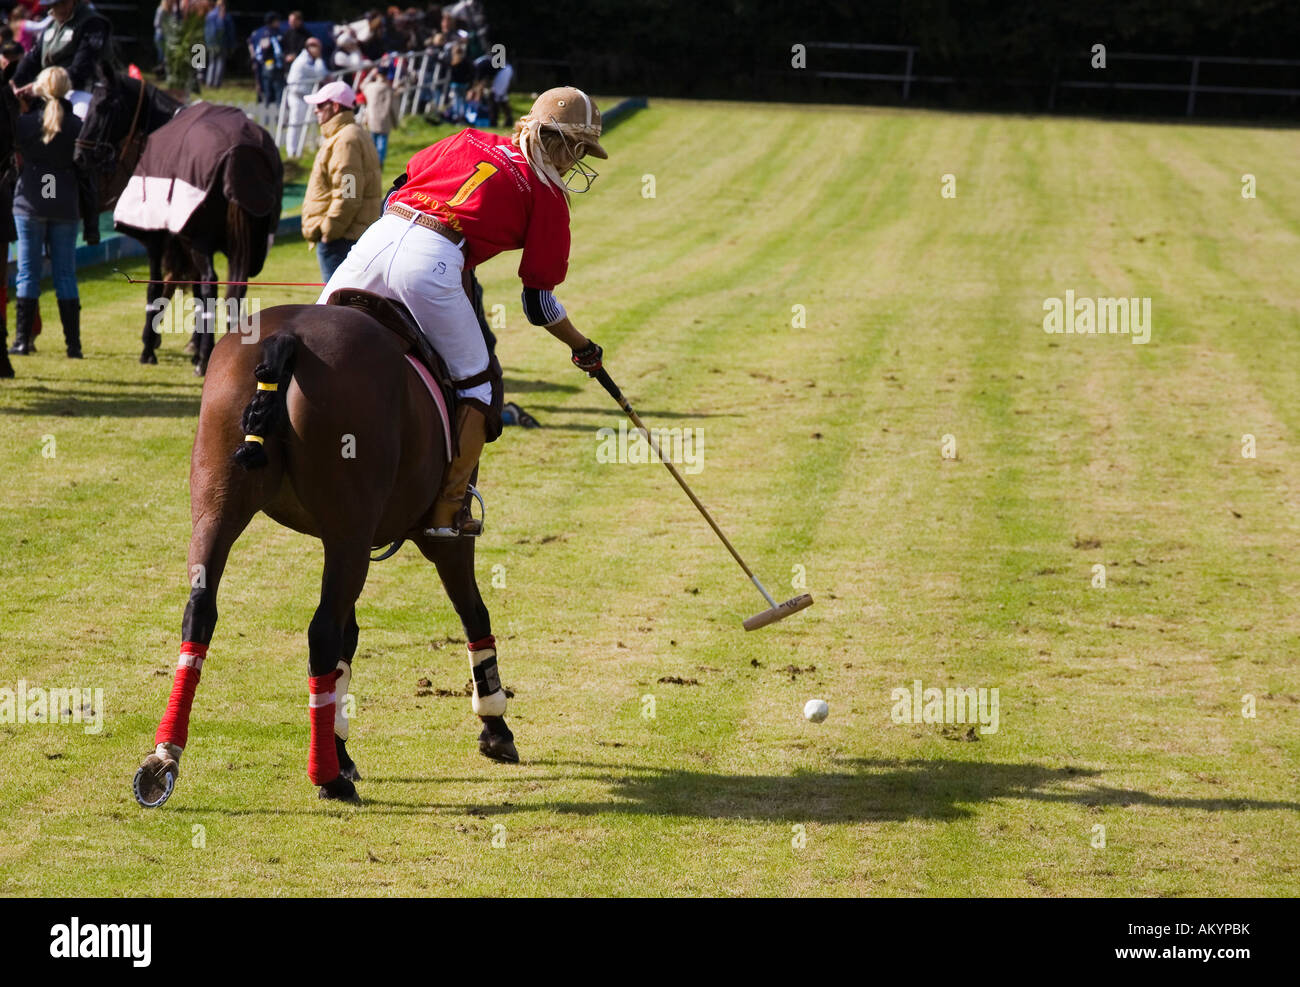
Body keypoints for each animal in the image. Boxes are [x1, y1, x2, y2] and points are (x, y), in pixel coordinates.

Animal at [131, 305, 514, 806]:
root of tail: (286, 340)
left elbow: (348, 646)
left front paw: (341, 745)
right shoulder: (443, 536)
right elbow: (473, 615)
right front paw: (494, 725)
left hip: (218, 507)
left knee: (200, 612)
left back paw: (164, 756)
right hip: (350, 531)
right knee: (322, 632)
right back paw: (327, 777)